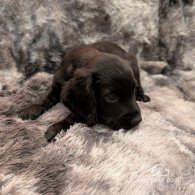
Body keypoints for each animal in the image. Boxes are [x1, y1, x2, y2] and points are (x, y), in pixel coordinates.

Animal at [19, 41, 150, 142]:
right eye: (111, 97)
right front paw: (32, 109)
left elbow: (73, 116)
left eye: (132, 90)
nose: (137, 120)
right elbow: (47, 97)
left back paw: (142, 96)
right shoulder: (58, 83)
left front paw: (56, 129)